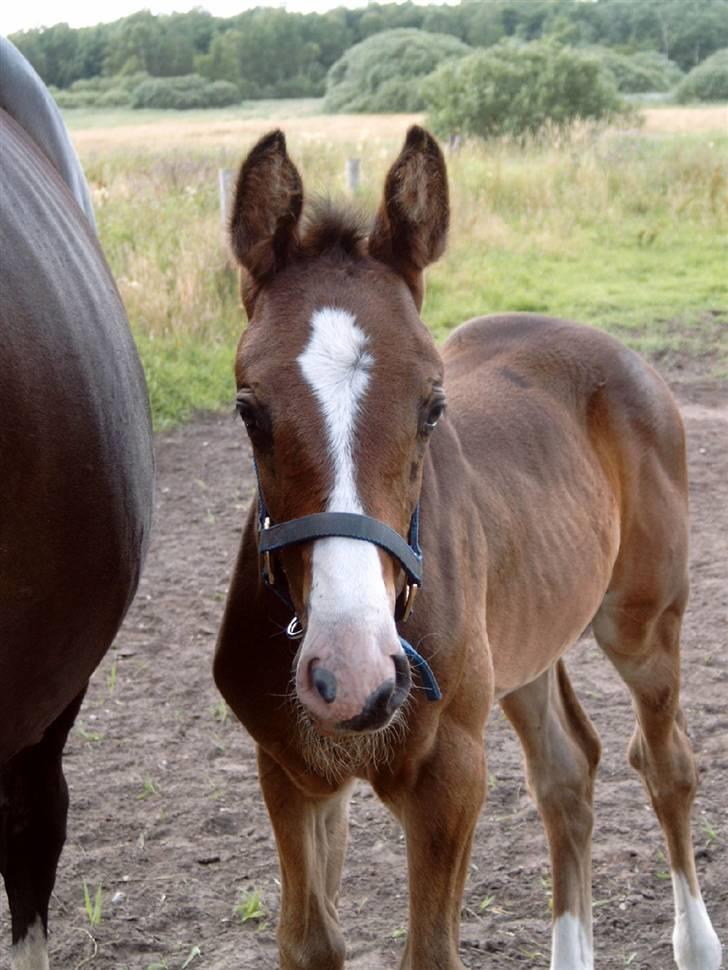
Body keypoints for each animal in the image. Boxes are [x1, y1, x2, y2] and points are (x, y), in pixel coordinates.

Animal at [213, 129, 720, 968]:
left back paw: (699, 943)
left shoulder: (450, 775)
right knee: (566, 774)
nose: (353, 676)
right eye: (249, 411)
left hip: (644, 624)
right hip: (527, 645)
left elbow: (432, 951)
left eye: (432, 406)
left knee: (666, 763)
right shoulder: (289, 772)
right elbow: (310, 942)